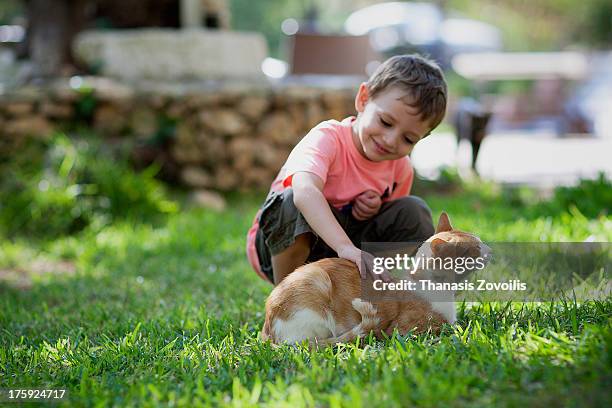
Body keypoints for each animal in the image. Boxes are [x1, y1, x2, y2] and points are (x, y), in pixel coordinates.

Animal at [260, 214, 490, 344]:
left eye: (479, 241)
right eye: (473, 249)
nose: (489, 249)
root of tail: (267, 330)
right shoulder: (404, 331)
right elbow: (447, 328)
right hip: (316, 284)